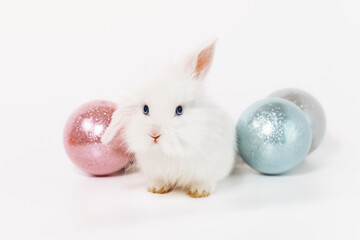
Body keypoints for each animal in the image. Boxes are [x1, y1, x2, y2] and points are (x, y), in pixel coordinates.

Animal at [102, 41, 236, 198]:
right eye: (145, 109)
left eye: (179, 110)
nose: (154, 134)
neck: (171, 151)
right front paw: (156, 188)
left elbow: (205, 180)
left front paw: (199, 192)